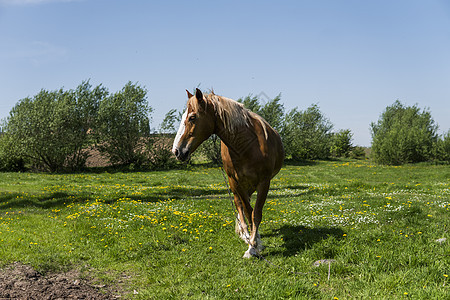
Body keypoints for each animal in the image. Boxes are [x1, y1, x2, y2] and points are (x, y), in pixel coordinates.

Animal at [171, 88, 284, 258]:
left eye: (192, 117)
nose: (177, 151)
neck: (248, 145)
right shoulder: (236, 181)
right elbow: (248, 211)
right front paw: (252, 245)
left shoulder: (264, 182)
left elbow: (256, 213)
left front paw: (254, 244)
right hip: (234, 183)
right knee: (239, 205)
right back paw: (245, 233)